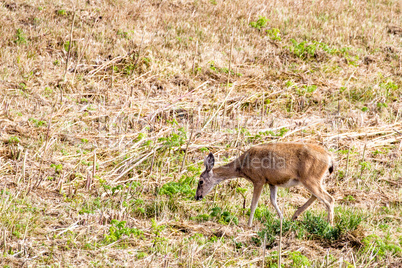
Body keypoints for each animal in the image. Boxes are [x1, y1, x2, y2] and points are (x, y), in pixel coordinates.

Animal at [196, 142, 336, 226]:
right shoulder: (271, 182)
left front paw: (249, 224)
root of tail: (329, 157)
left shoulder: (259, 180)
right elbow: (273, 201)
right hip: (313, 179)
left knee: (328, 198)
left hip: (310, 178)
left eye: (201, 181)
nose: (197, 196)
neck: (243, 166)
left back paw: (329, 225)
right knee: (317, 196)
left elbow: (253, 204)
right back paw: (295, 216)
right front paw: (282, 219)